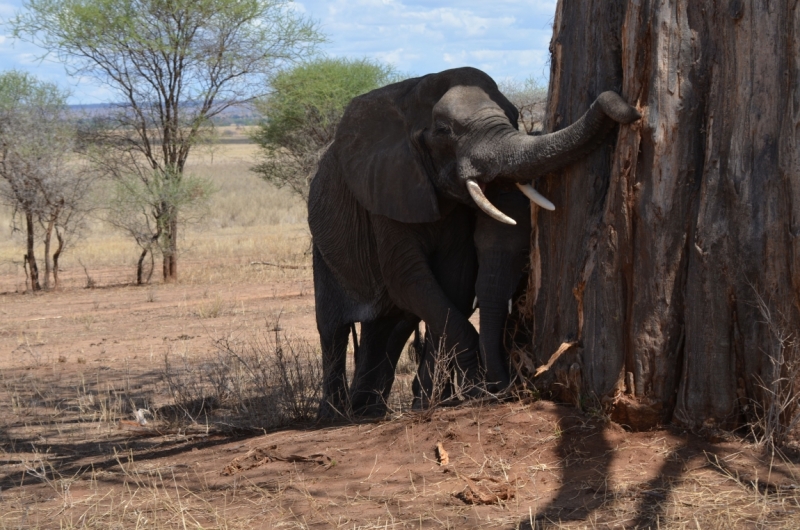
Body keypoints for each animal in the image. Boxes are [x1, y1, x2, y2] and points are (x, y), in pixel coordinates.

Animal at [310, 68, 640, 418]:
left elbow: (453, 284)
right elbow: (410, 280)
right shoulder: (386, 191)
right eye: (444, 131)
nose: (626, 106)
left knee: (389, 327)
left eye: (514, 115)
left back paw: (367, 411)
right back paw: (333, 416)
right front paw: (472, 392)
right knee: (332, 330)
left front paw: (443, 399)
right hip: (324, 250)